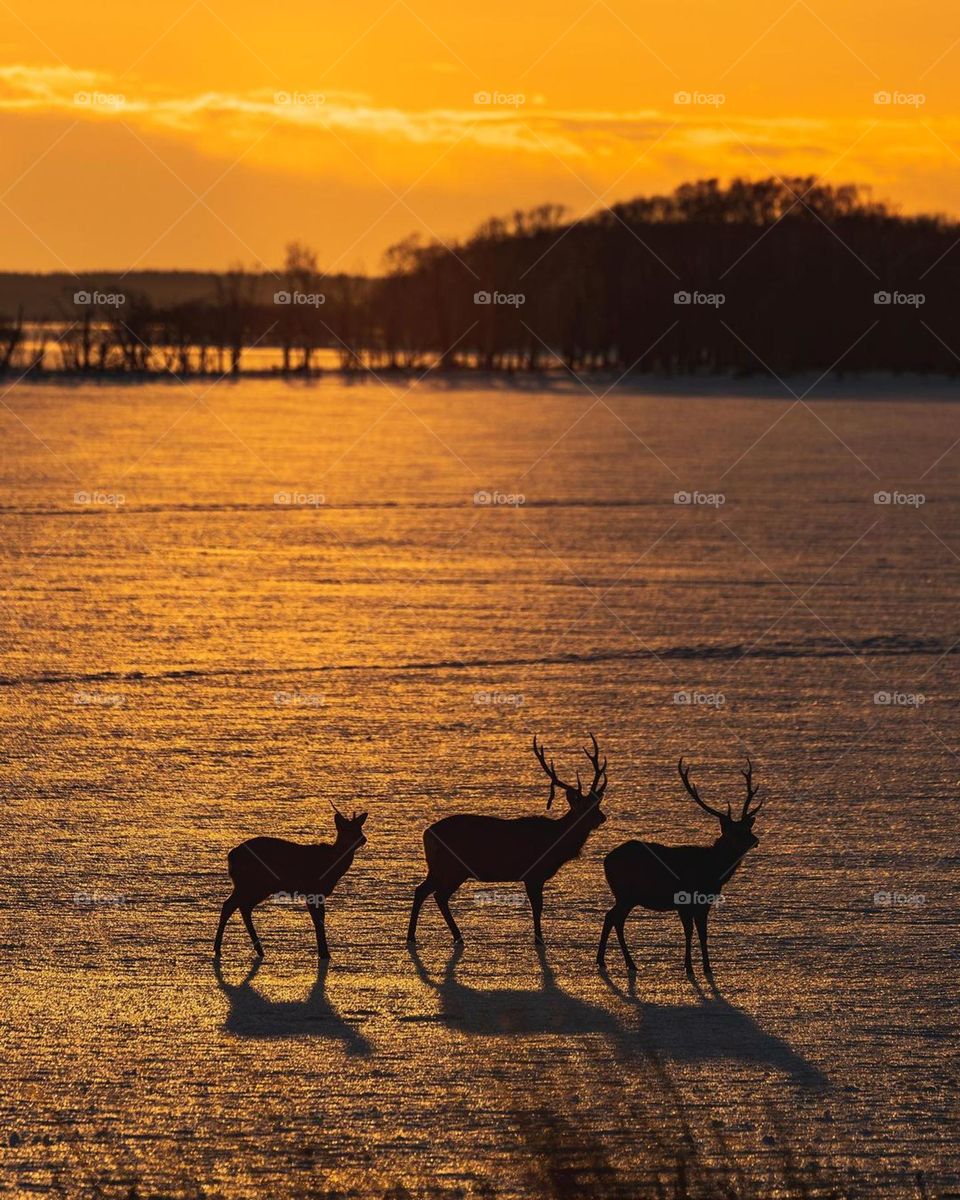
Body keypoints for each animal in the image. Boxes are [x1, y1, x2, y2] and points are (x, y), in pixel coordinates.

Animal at [213, 804, 368, 961]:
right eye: (347, 829)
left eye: (359, 827)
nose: (363, 839)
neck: (330, 866)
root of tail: (231, 856)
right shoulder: (312, 890)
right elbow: (317, 920)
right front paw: (324, 954)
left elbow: (320, 919)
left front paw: (324, 953)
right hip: (250, 883)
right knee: (230, 905)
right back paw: (218, 949)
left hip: (256, 887)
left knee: (243, 907)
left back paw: (259, 950)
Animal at [407, 734, 608, 947]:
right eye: (585, 806)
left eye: (597, 804)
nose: (602, 817)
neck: (555, 842)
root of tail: (427, 834)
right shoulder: (533, 874)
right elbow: (537, 907)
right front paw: (539, 940)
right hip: (454, 867)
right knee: (438, 895)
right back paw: (453, 936)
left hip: (439, 867)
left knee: (422, 891)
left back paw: (417, 936)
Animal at [597, 756, 763, 977]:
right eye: (735, 832)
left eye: (748, 828)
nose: (755, 840)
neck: (712, 870)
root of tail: (606, 861)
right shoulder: (684, 901)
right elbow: (689, 932)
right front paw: (689, 968)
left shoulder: (704, 903)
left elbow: (703, 934)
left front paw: (708, 968)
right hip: (626, 893)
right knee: (614, 918)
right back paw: (625, 963)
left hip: (627, 896)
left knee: (611, 917)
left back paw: (607, 961)